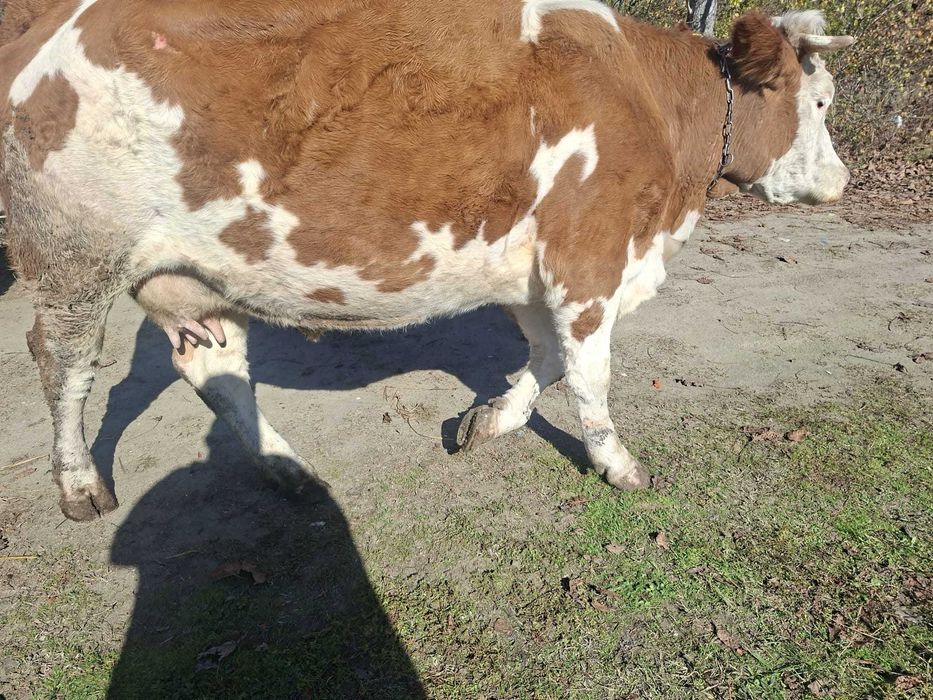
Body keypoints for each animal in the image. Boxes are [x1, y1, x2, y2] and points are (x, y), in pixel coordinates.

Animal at [0, 0, 854, 521]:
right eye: (818, 103)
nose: (841, 180)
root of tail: (54, 21)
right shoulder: (589, 253)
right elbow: (590, 371)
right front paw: (616, 462)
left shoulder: (529, 266)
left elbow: (545, 357)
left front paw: (492, 419)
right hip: (75, 257)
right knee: (64, 364)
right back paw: (79, 483)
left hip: (193, 269)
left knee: (212, 367)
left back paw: (285, 467)